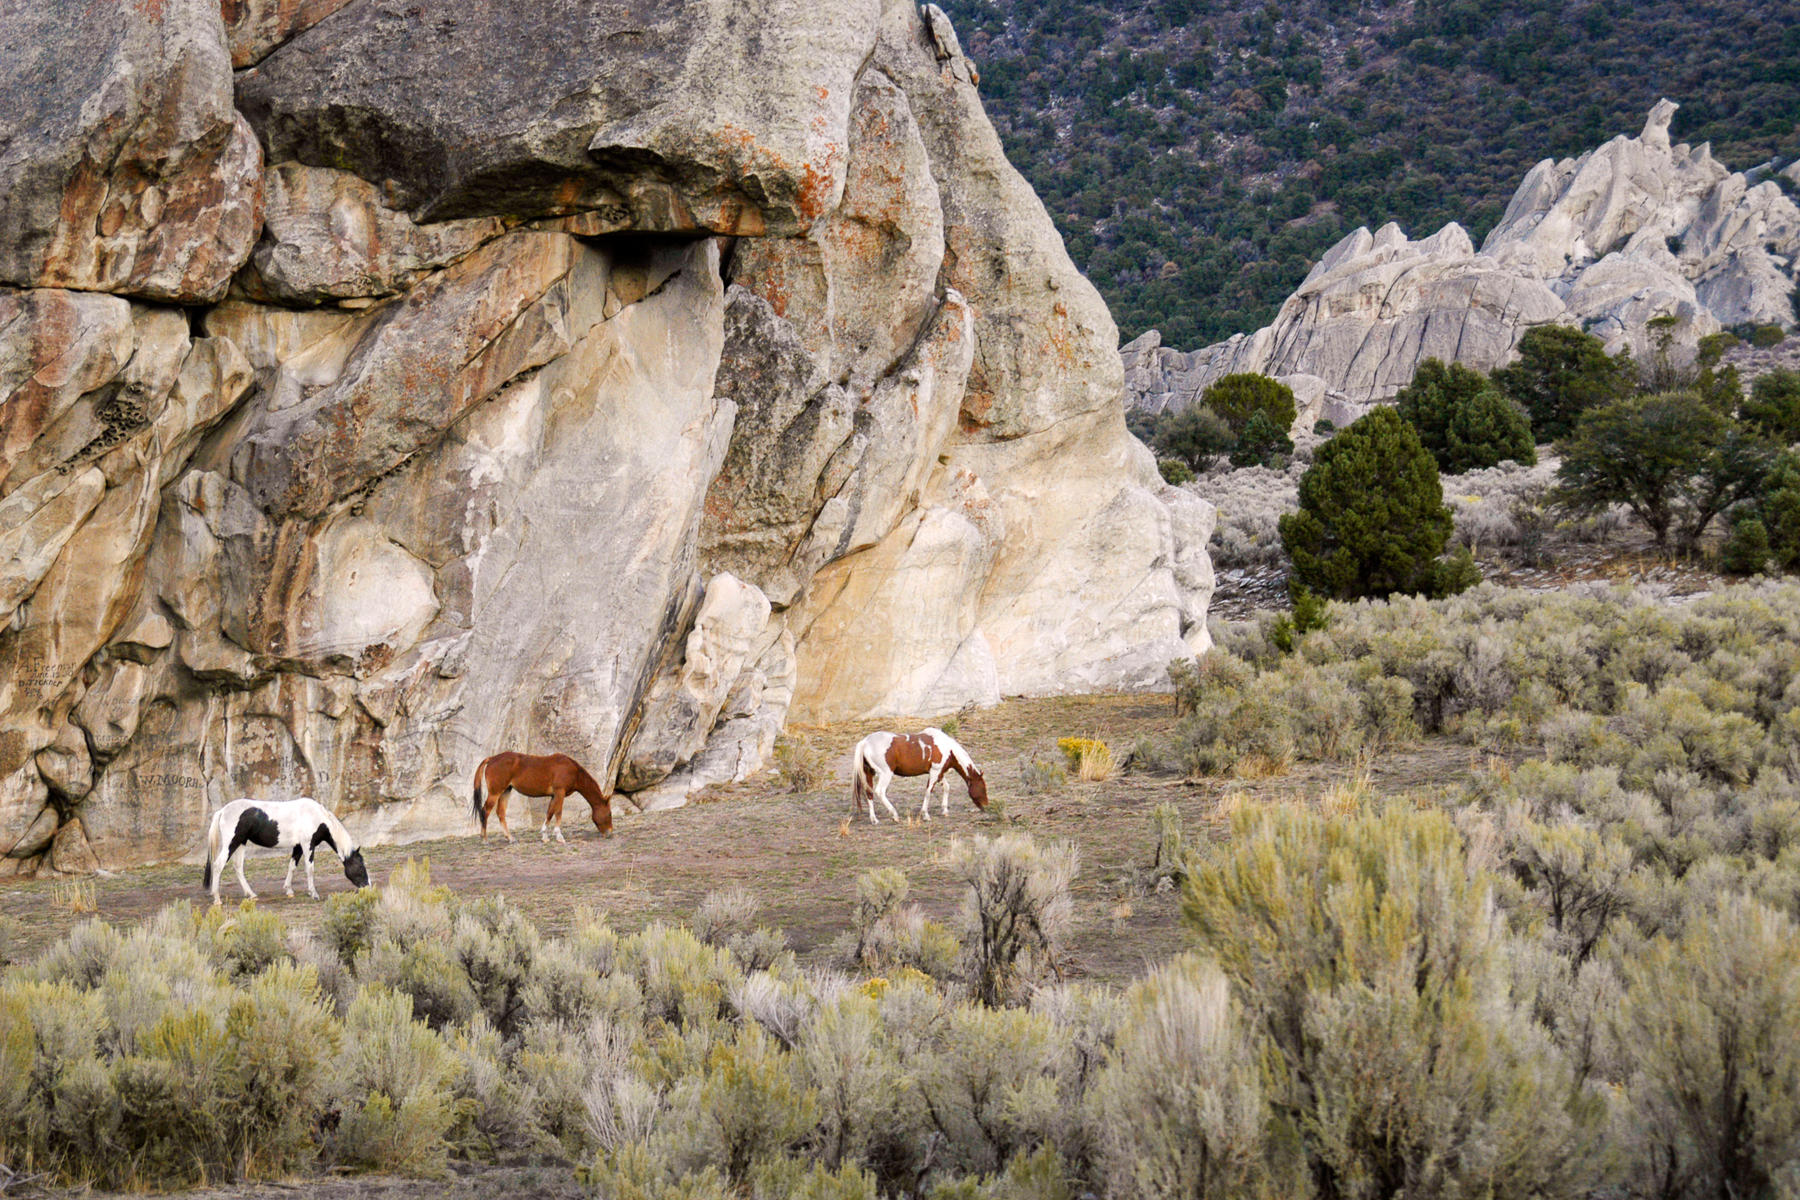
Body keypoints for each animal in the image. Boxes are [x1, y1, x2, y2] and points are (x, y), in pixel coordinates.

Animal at [201, 802, 369, 906]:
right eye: (361, 867)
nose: (368, 887)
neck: (314, 816)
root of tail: (222, 811)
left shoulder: (298, 846)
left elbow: (292, 866)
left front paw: (288, 890)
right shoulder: (308, 845)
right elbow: (310, 869)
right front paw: (314, 894)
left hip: (241, 843)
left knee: (238, 867)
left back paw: (251, 894)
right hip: (232, 843)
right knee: (218, 865)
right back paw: (217, 898)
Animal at [471, 752, 612, 845]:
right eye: (610, 814)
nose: (610, 832)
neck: (573, 771)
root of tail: (492, 759)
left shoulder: (554, 796)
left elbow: (549, 813)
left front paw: (544, 836)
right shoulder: (560, 792)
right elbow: (558, 813)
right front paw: (559, 836)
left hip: (506, 791)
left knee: (500, 813)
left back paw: (510, 838)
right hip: (495, 793)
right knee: (485, 811)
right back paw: (484, 839)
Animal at [849, 726, 993, 820]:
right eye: (983, 788)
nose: (986, 805)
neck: (947, 748)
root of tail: (865, 742)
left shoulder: (939, 773)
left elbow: (946, 787)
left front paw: (945, 810)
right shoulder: (935, 772)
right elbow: (928, 791)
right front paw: (925, 814)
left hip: (869, 773)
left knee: (869, 793)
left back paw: (874, 819)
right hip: (885, 774)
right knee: (880, 792)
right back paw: (894, 814)